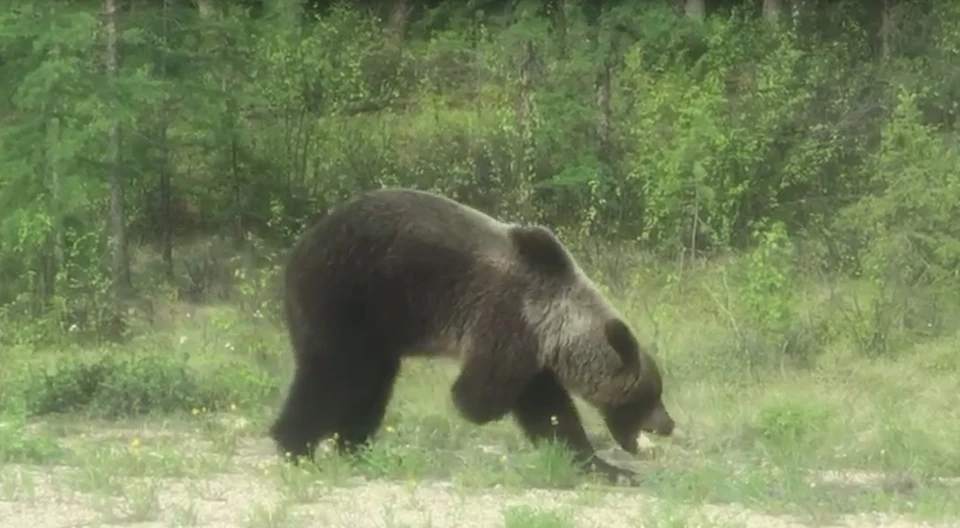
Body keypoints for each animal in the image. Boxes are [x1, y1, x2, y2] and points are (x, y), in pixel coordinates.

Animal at [270, 188, 676, 484]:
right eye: (649, 395)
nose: (669, 425)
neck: (553, 326)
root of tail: (297, 250)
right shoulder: (504, 325)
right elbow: (477, 399)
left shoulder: (530, 351)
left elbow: (553, 416)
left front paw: (608, 468)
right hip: (346, 296)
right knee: (334, 373)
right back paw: (295, 445)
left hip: (375, 328)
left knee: (371, 383)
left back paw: (355, 447)